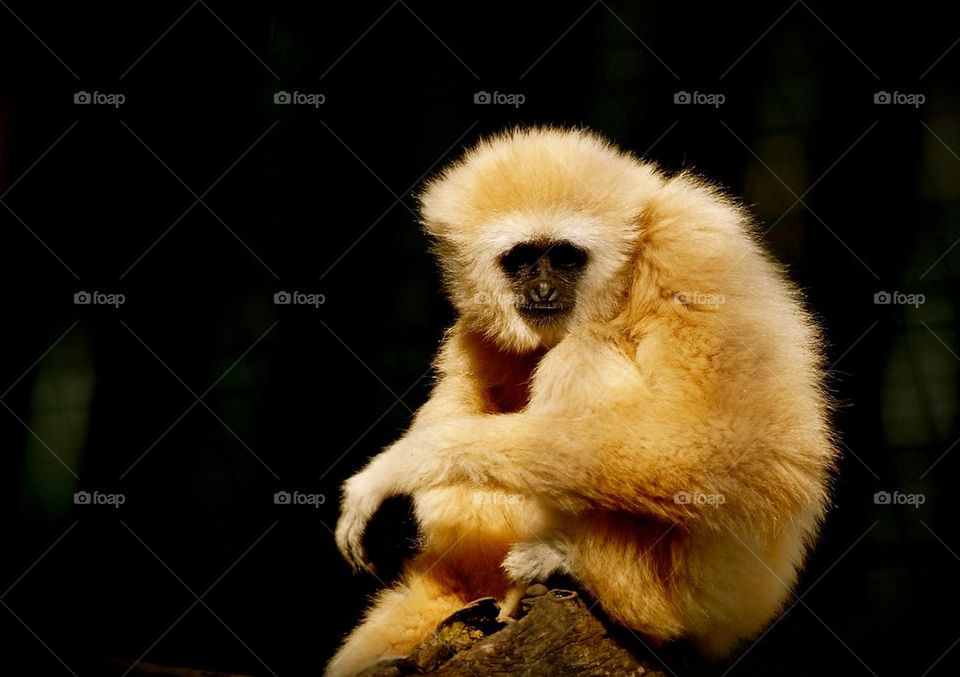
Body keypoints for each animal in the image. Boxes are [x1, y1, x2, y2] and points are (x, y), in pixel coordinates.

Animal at [326, 127, 836, 676]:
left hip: (708, 591)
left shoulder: (695, 247)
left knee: (584, 352)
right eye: (521, 260)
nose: (545, 289)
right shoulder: (473, 332)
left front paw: (410, 460)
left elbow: (734, 440)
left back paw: (575, 568)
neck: (622, 283)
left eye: (567, 257)